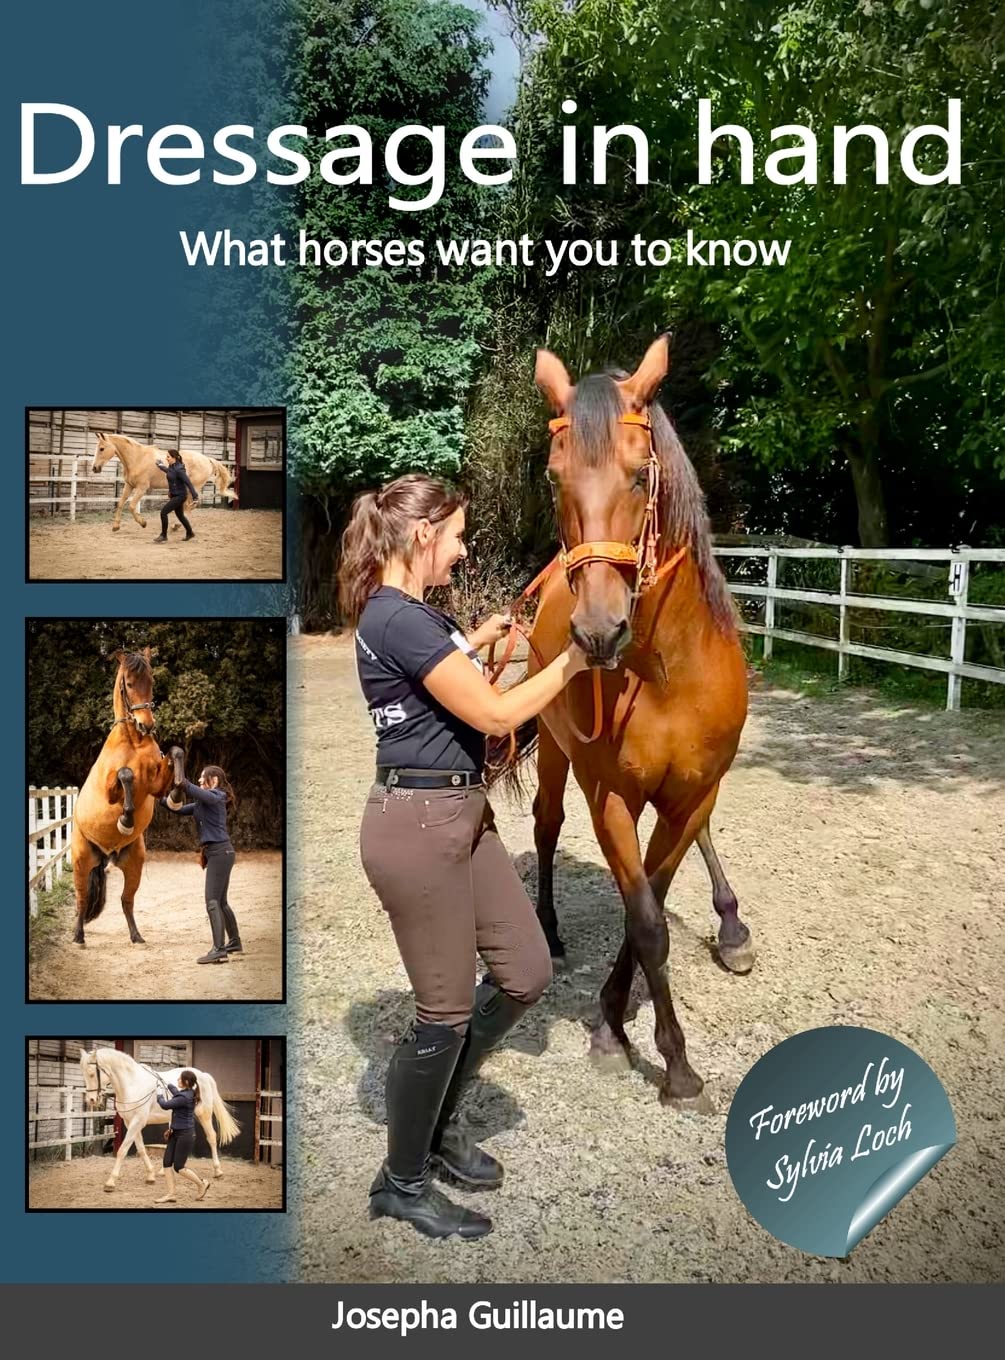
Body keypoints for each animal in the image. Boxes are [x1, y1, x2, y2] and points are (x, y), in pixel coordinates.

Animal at [70, 647, 186, 946]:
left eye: (152, 682)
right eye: (130, 684)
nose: (147, 725)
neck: (134, 741)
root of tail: (106, 856)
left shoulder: (157, 783)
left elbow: (177, 752)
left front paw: (177, 796)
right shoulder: (109, 790)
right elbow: (125, 775)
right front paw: (125, 820)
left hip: (134, 863)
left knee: (126, 901)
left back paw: (137, 936)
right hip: (80, 863)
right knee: (82, 899)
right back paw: (78, 937)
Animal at [80, 1047, 240, 1193]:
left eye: (92, 1074)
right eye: (84, 1075)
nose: (91, 1100)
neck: (132, 1084)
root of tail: (203, 1075)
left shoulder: (137, 1121)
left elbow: (123, 1150)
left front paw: (110, 1182)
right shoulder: (130, 1122)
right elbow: (141, 1149)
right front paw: (150, 1176)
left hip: (204, 1114)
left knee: (211, 1137)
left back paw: (218, 1171)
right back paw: (163, 1171)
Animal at [91, 432, 235, 532]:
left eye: (102, 448)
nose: (94, 468)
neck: (137, 458)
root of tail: (207, 459)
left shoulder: (142, 488)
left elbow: (131, 506)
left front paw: (143, 523)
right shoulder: (129, 485)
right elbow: (121, 504)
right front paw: (116, 526)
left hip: (193, 487)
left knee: (191, 506)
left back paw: (175, 526)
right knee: (188, 506)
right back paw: (177, 525)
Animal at [515, 335, 754, 1108]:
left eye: (640, 472)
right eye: (553, 476)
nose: (597, 630)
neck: (665, 672)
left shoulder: (692, 794)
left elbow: (651, 895)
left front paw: (616, 1021)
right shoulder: (611, 799)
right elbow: (645, 920)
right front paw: (664, 1060)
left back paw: (731, 924)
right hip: (555, 755)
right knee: (546, 825)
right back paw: (548, 928)